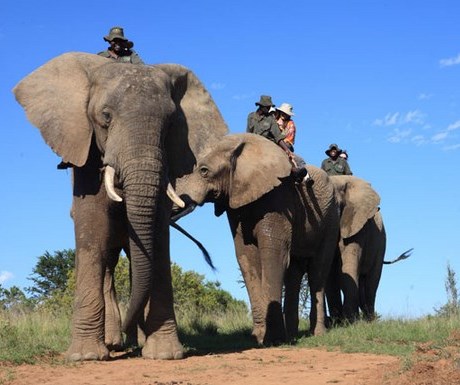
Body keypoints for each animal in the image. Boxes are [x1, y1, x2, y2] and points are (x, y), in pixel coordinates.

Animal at [13, 51, 229, 360]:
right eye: (105, 117)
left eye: (171, 123)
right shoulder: (86, 150)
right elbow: (92, 228)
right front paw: (86, 357)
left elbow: (158, 237)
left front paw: (164, 355)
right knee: (107, 260)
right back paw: (113, 343)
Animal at [174, 134, 340, 344]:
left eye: (204, 171)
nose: (209, 260)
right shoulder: (237, 202)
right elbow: (246, 256)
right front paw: (258, 338)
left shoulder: (278, 199)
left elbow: (274, 255)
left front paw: (273, 340)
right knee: (294, 273)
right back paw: (292, 335)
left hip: (331, 218)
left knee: (318, 271)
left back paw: (316, 334)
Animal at [326, 176, 412, 322]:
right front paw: (337, 322)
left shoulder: (357, 226)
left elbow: (347, 268)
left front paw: (350, 321)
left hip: (381, 243)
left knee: (371, 283)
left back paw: (370, 320)